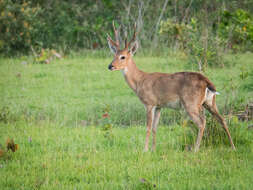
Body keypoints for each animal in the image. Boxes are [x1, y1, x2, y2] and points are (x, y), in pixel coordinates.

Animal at [106, 21, 235, 151]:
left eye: (123, 56)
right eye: (114, 55)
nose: (110, 66)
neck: (140, 81)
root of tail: (206, 81)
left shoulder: (149, 103)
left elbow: (148, 127)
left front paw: (145, 150)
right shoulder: (159, 105)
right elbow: (155, 128)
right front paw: (153, 149)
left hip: (191, 103)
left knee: (202, 122)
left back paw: (195, 149)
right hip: (209, 102)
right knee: (222, 119)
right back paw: (233, 147)